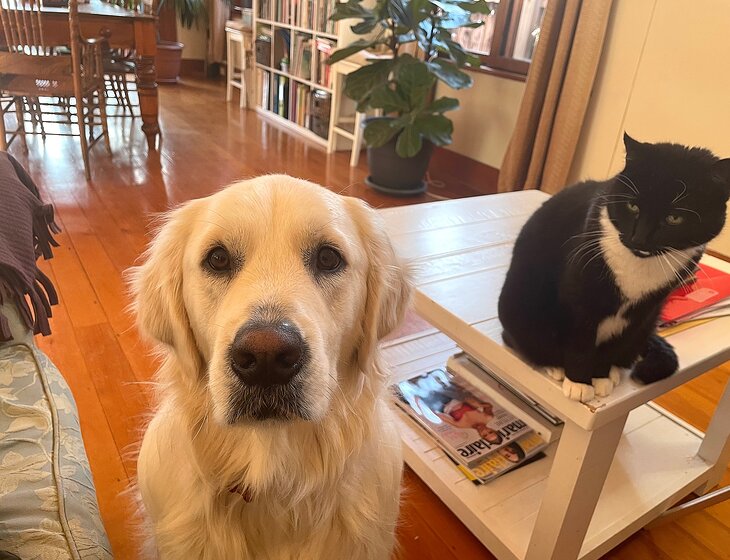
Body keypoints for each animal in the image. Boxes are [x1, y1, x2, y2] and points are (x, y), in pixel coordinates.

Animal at [498, 133, 730, 402]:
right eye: (633, 206)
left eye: (674, 218)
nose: (639, 239)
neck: (638, 267)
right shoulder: (580, 295)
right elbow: (580, 341)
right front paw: (579, 382)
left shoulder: (642, 312)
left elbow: (613, 345)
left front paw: (600, 376)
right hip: (522, 309)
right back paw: (554, 366)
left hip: (648, 325)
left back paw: (614, 371)